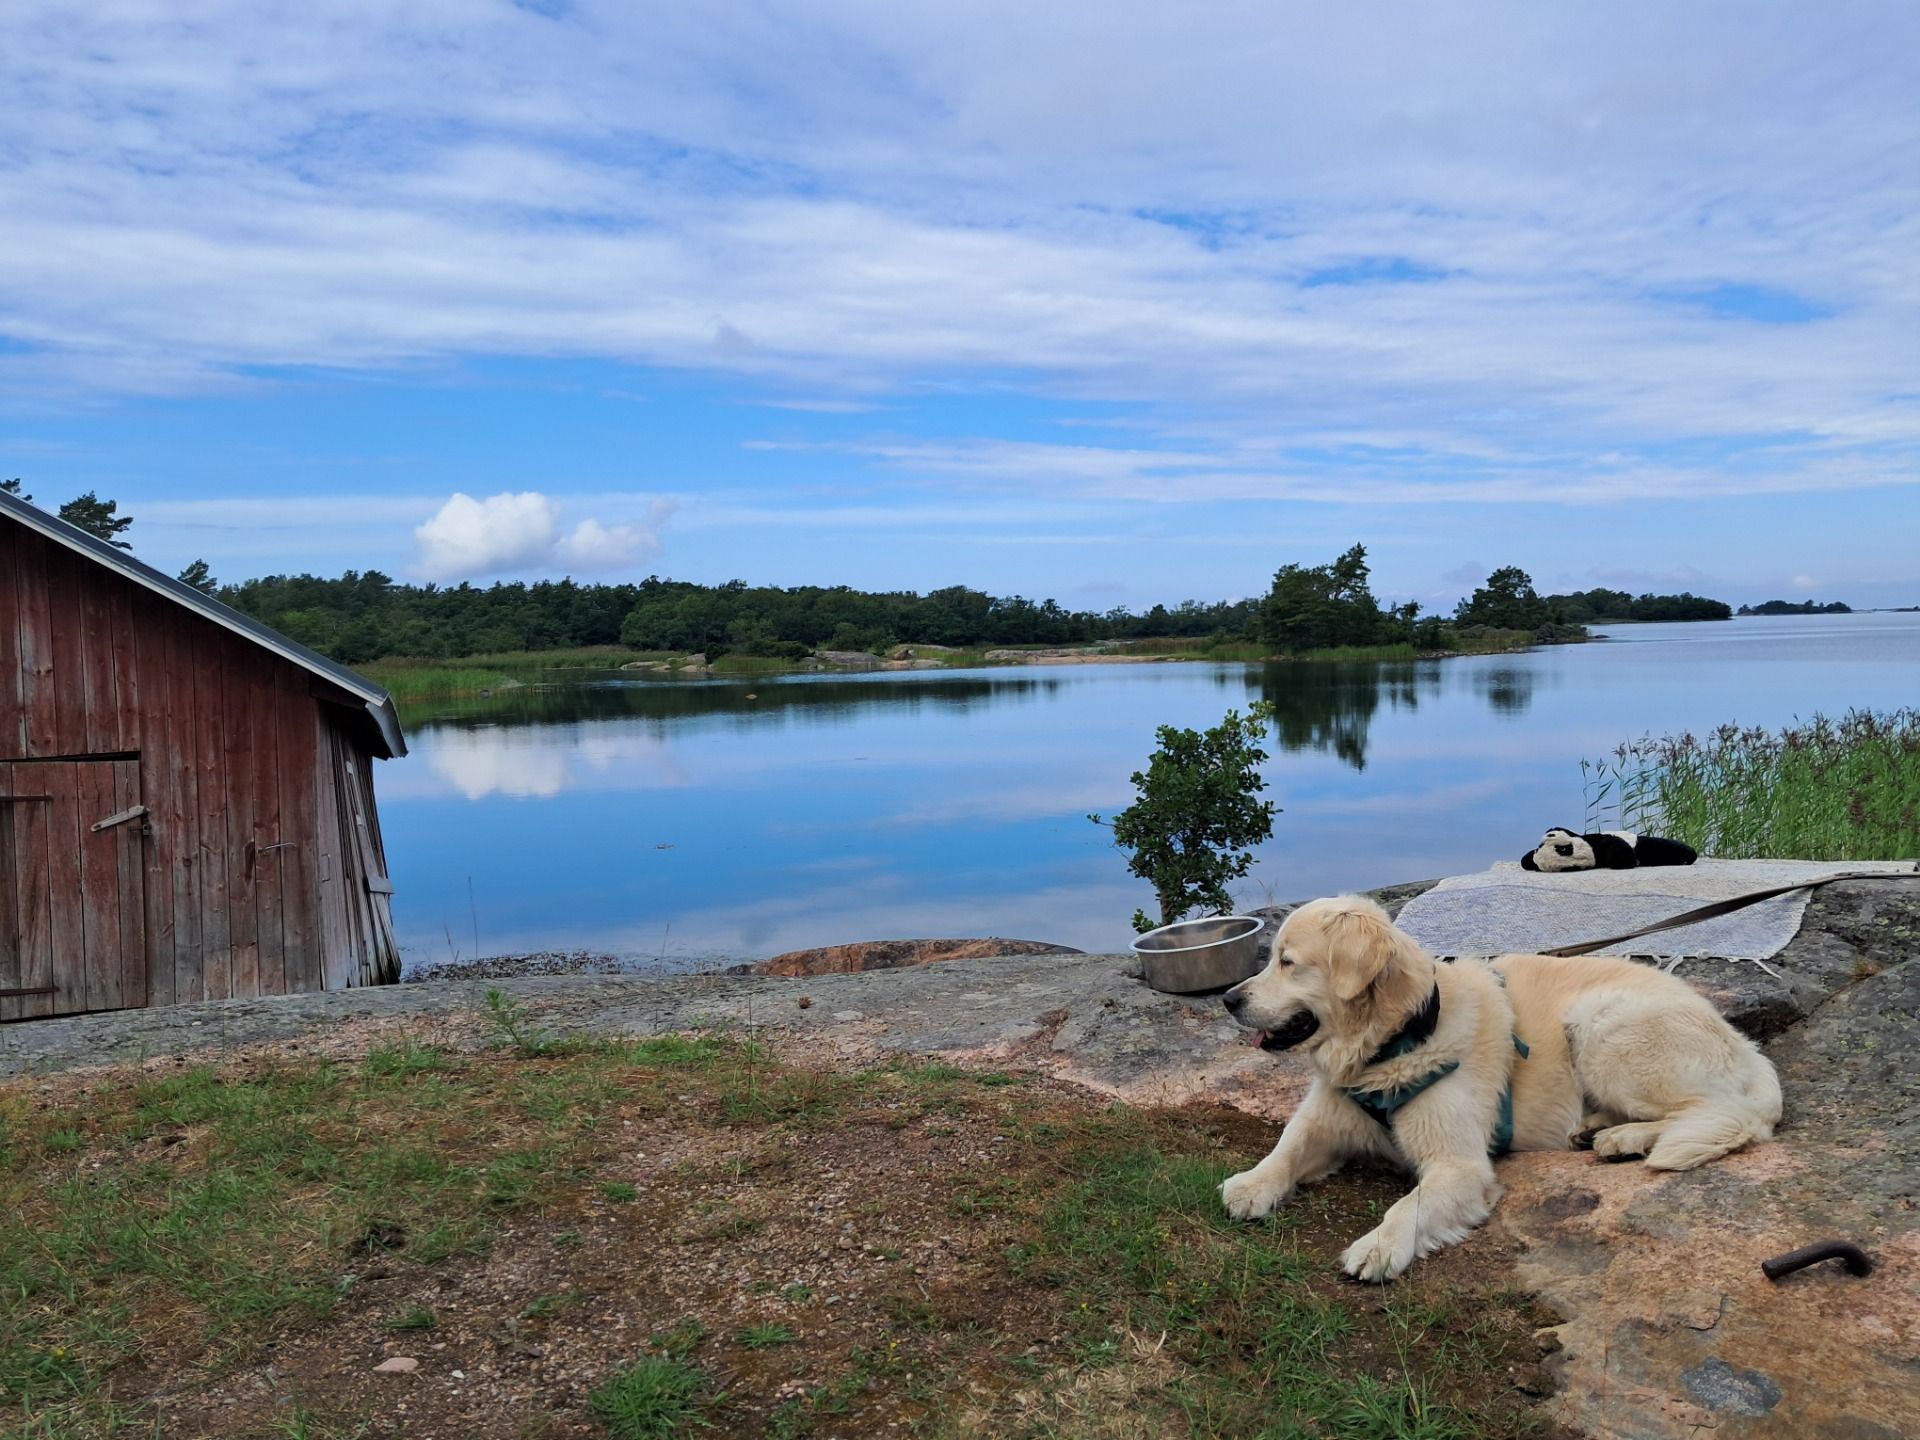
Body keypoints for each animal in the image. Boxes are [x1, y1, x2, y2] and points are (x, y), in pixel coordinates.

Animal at [1221, 898, 1774, 1282]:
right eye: (1272, 958)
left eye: (1288, 962)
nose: (1228, 999)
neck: (1396, 1042)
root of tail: (1742, 1043)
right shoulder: (1327, 1116)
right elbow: (1287, 1148)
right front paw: (1251, 1185)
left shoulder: (1459, 1166)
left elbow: (1409, 1206)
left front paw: (1379, 1246)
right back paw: (1599, 1129)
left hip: (1601, 1025)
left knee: (1727, 1112)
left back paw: (1627, 1138)